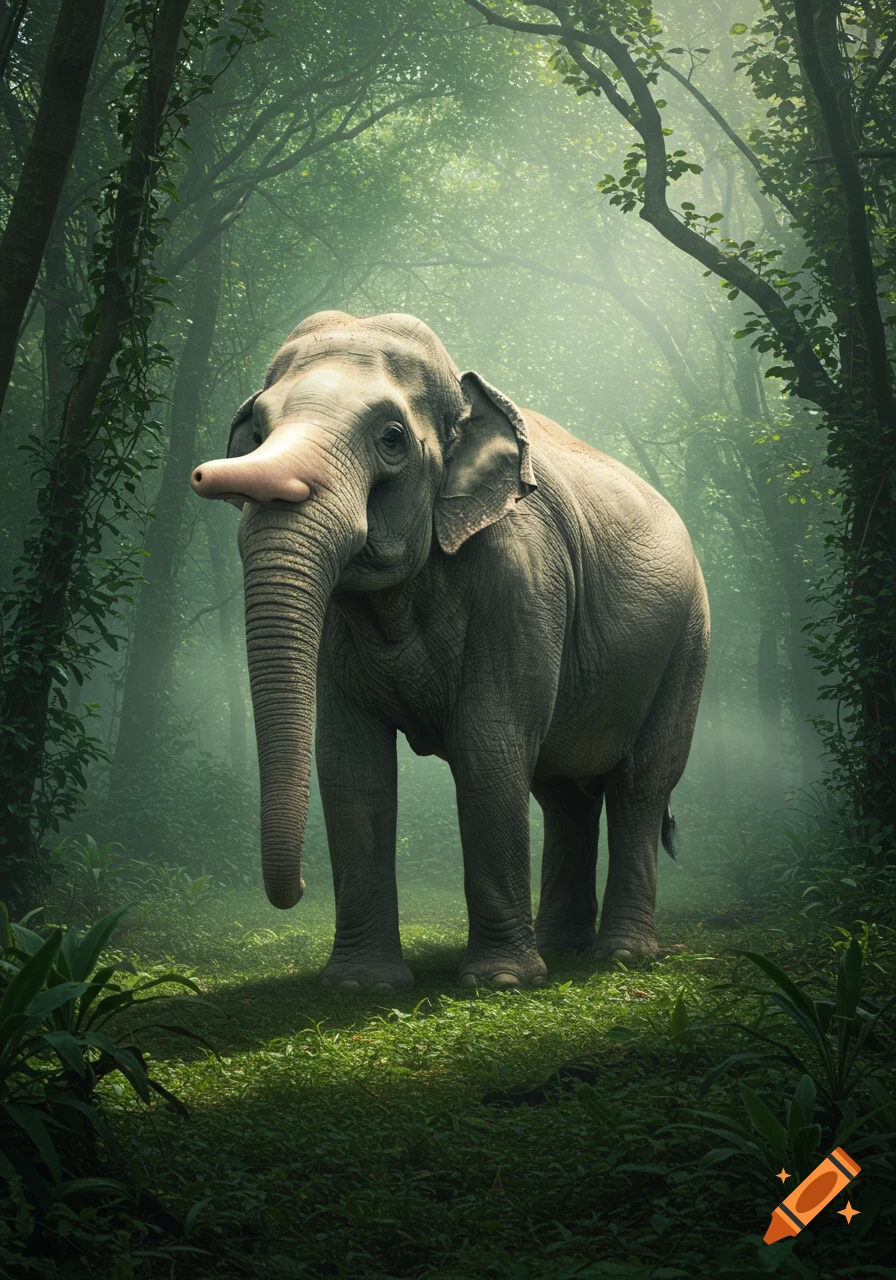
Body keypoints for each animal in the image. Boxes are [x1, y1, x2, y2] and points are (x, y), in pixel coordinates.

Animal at [191, 310, 709, 990]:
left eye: (391, 438)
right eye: (257, 430)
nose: (295, 889)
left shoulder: (522, 579)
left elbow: (488, 743)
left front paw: (500, 982)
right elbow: (352, 764)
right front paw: (361, 984)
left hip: (687, 644)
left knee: (640, 783)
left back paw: (619, 955)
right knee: (562, 792)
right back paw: (560, 947)